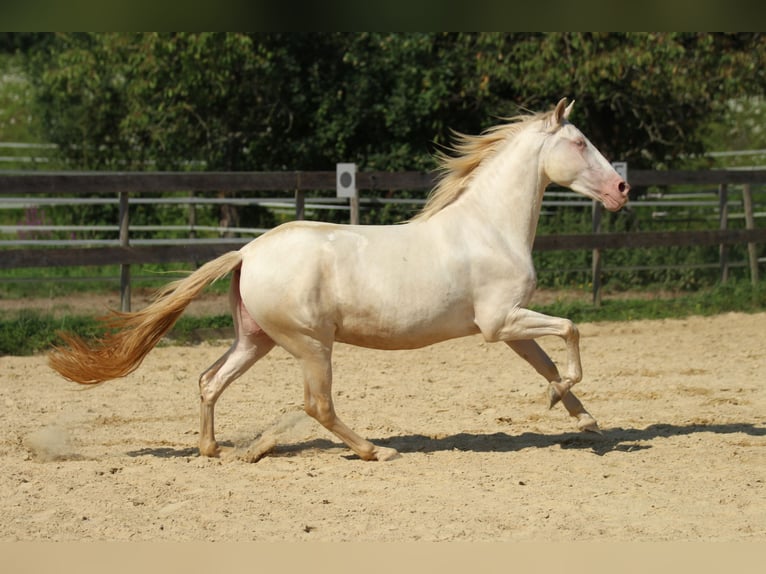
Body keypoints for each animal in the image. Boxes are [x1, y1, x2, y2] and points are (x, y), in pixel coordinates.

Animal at [52, 97, 632, 462]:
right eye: (581, 142)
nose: (623, 189)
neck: (490, 226)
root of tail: (248, 251)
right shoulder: (500, 323)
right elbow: (572, 329)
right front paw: (569, 406)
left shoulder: (508, 327)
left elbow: (548, 362)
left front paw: (579, 417)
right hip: (311, 345)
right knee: (318, 405)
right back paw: (377, 450)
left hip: (257, 341)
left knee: (209, 380)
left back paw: (214, 449)